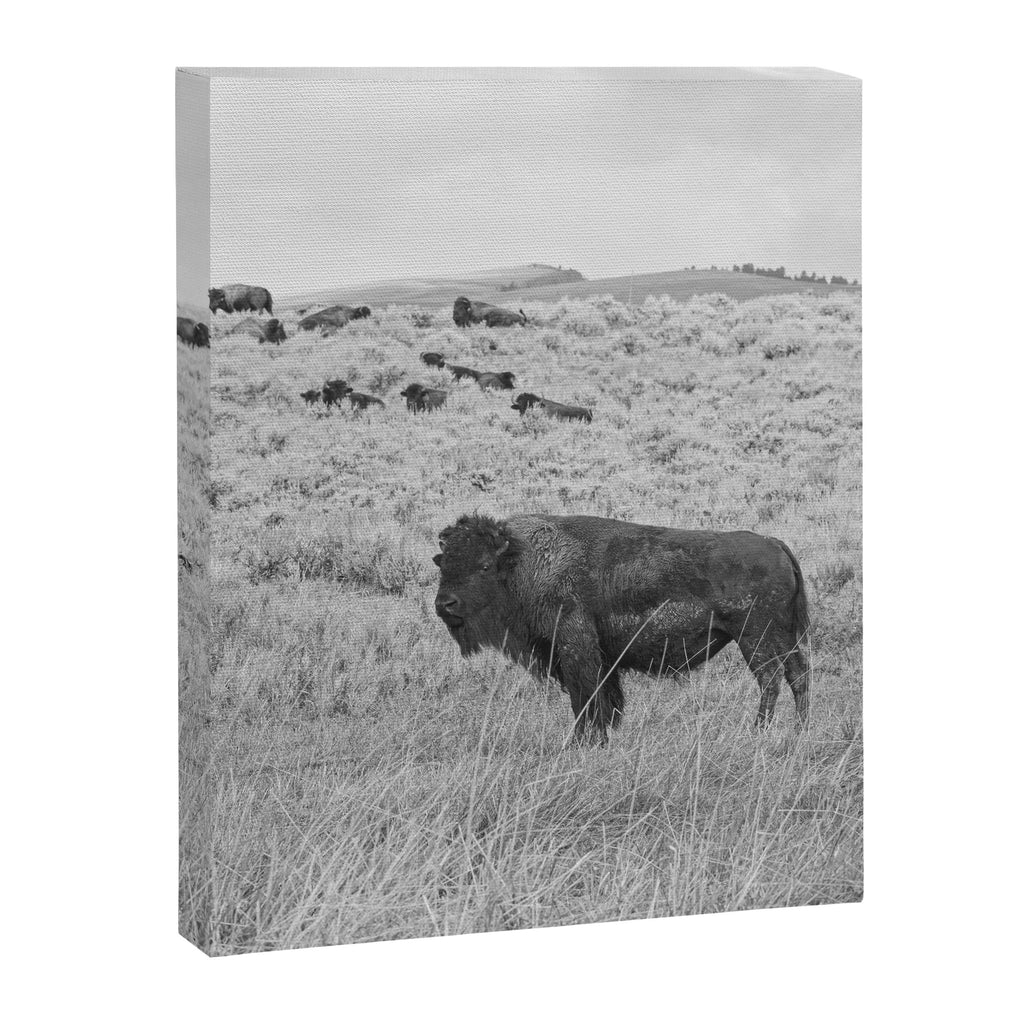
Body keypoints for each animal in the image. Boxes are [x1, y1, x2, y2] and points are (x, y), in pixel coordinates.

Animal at [433, 514, 810, 744]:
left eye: (484, 566)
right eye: (443, 563)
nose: (444, 604)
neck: (524, 561)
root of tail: (775, 544)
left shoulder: (576, 649)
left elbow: (586, 698)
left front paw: (584, 742)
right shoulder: (599, 659)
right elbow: (604, 699)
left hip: (754, 636)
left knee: (770, 678)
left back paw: (759, 730)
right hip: (781, 636)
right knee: (797, 674)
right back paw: (800, 729)